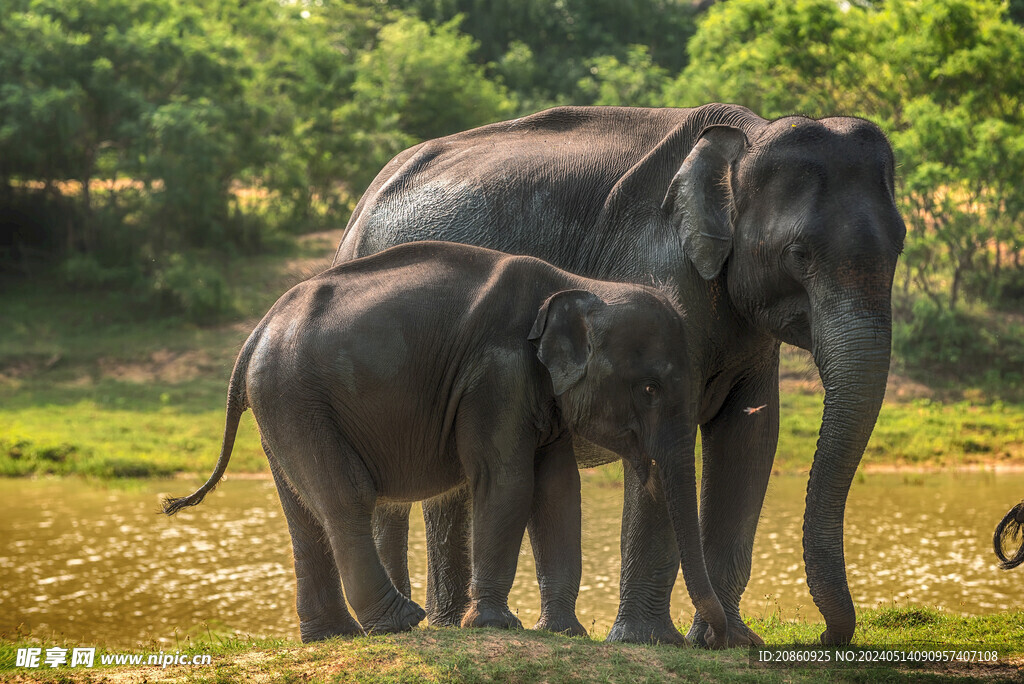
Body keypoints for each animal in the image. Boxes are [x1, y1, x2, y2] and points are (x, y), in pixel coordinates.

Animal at [161, 240, 729, 643]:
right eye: (650, 388)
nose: (718, 639)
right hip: (296, 398)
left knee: (304, 513)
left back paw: (333, 637)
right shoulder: (496, 374)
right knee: (345, 498)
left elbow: (558, 490)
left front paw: (563, 633)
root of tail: (254, 335)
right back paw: (400, 622)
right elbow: (507, 480)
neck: (578, 285)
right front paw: (496, 626)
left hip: (279, 409)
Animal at [331, 102, 901, 647]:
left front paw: (730, 641)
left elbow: (751, 436)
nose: (824, 635)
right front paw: (652, 641)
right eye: (799, 254)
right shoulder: (659, 273)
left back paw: (448, 624)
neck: (748, 136)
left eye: (898, 248)